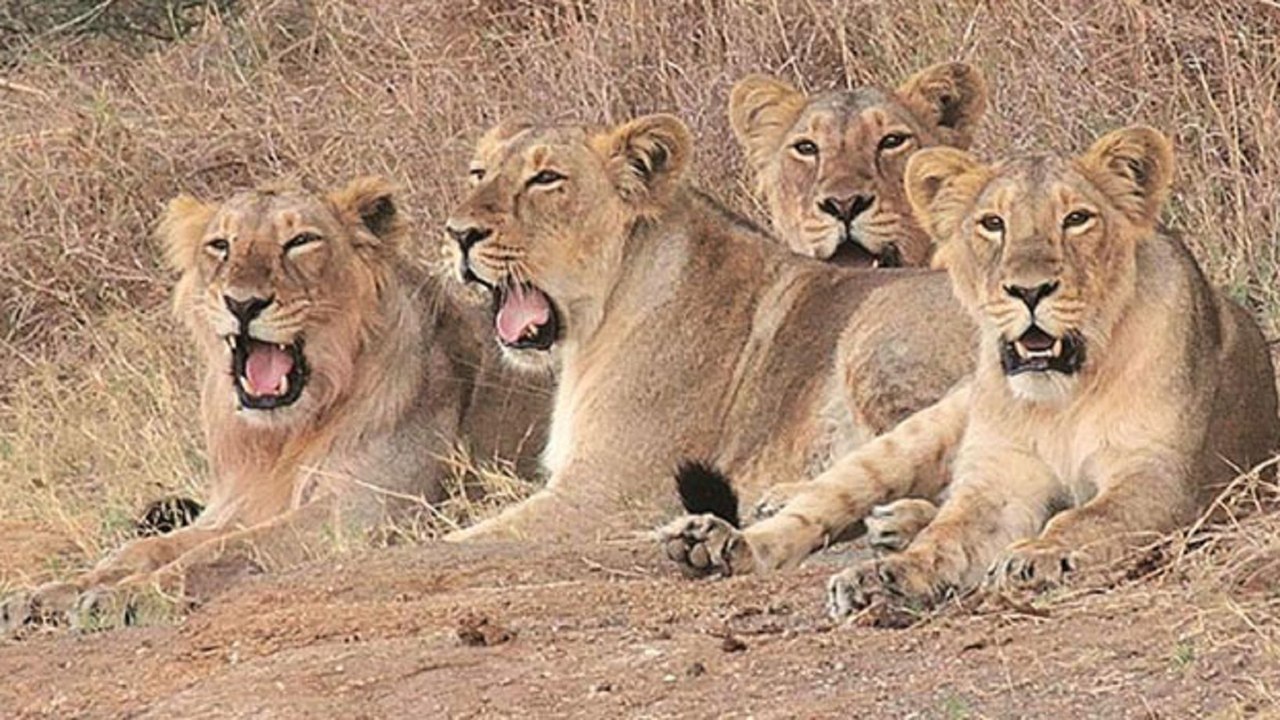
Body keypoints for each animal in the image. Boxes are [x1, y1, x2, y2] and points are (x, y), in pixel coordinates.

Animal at [1, 177, 548, 630]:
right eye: (220, 246)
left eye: (301, 241)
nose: (242, 303)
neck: (283, 435)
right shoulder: (235, 505)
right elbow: (147, 547)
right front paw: (49, 594)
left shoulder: (367, 511)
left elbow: (221, 550)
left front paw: (127, 597)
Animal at [439, 113, 974, 543]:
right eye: (478, 173)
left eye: (546, 178)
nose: (459, 234)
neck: (595, 323)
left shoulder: (610, 493)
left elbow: (462, 539)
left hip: (874, 330)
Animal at [659, 126, 1279, 617]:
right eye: (992, 223)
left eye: (1077, 219)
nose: (1028, 290)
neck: (1064, 392)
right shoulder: (1000, 478)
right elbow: (948, 537)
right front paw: (883, 580)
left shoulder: (1159, 473)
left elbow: (1088, 519)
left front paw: (1037, 555)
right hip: (917, 431)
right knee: (820, 504)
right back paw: (718, 542)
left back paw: (891, 522)